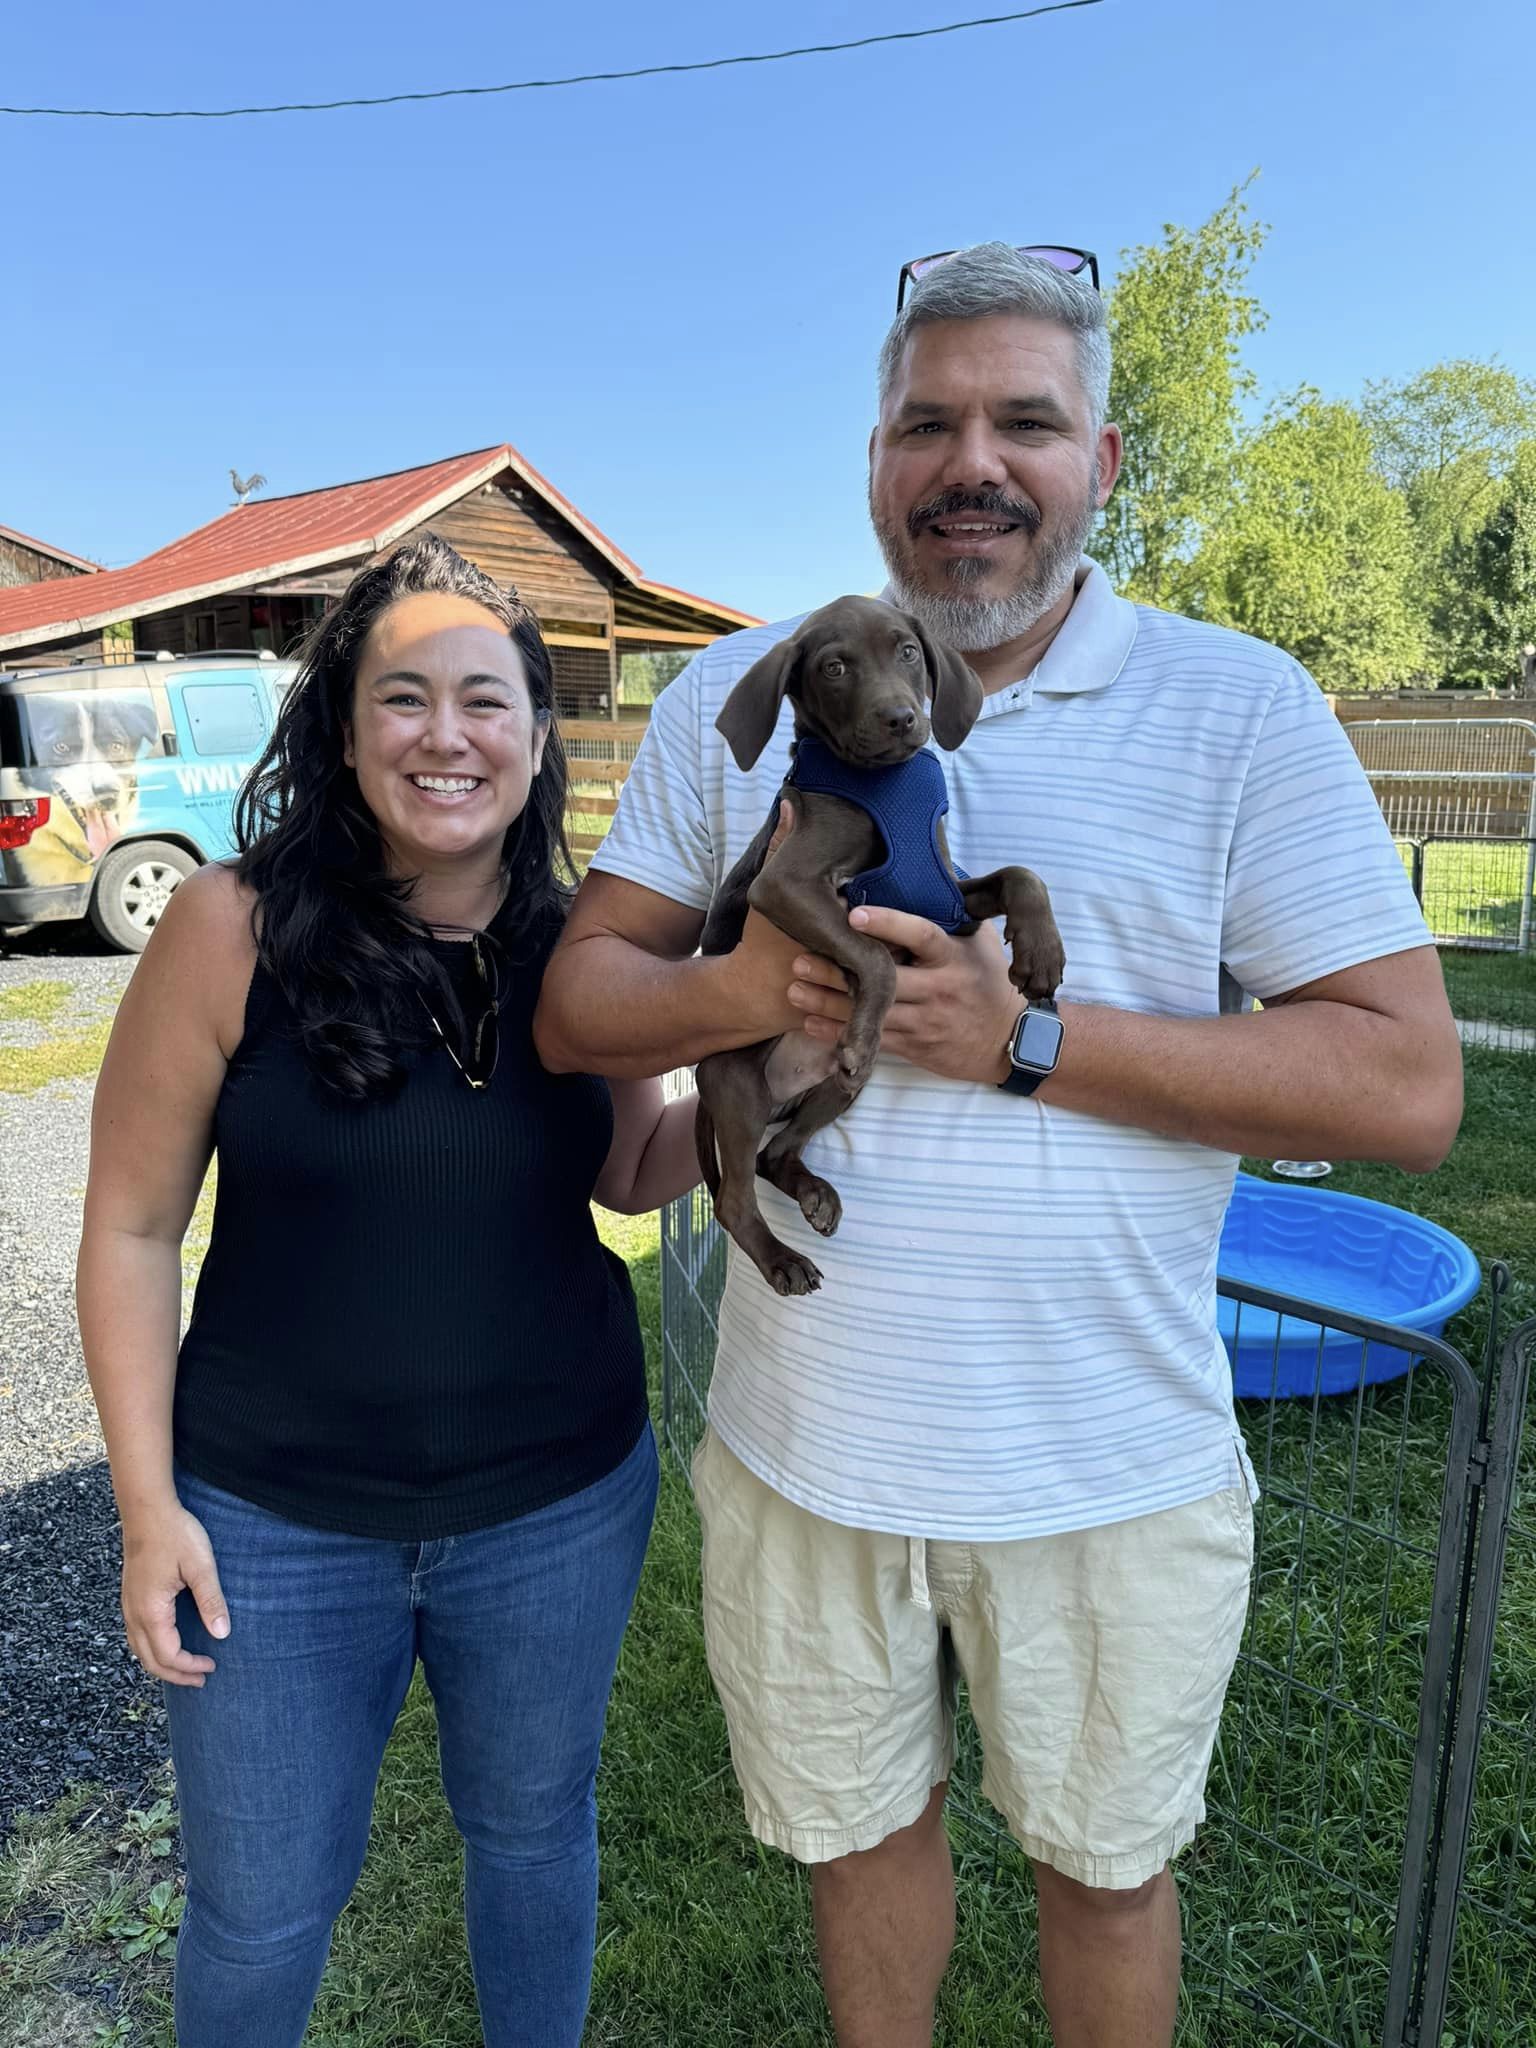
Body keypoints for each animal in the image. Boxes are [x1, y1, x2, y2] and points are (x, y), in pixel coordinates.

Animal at [695, 594, 1065, 1298]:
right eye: (834, 667)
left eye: (910, 652)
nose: (900, 718)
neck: (884, 785)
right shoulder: (786, 886)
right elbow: (873, 960)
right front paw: (865, 1030)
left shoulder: (946, 903)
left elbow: (1021, 875)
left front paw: (1042, 953)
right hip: (736, 1082)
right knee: (734, 1196)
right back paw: (782, 1258)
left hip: (837, 1094)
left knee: (775, 1155)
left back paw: (814, 1194)